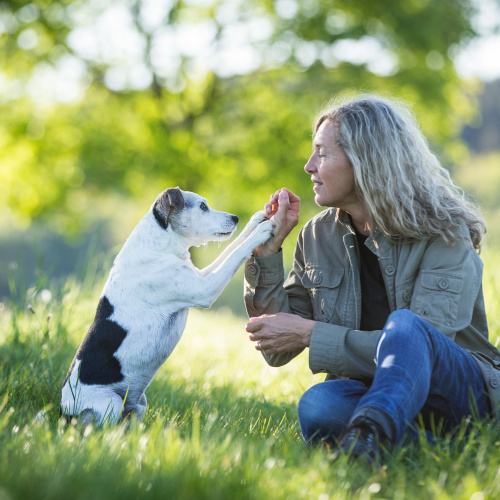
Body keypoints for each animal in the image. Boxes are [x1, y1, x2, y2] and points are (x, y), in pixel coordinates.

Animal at [60, 188, 276, 426]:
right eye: (202, 206)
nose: (236, 218)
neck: (160, 246)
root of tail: (63, 413)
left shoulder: (199, 275)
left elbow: (231, 247)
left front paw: (256, 220)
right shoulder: (204, 289)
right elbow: (236, 254)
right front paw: (261, 232)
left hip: (140, 404)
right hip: (110, 403)